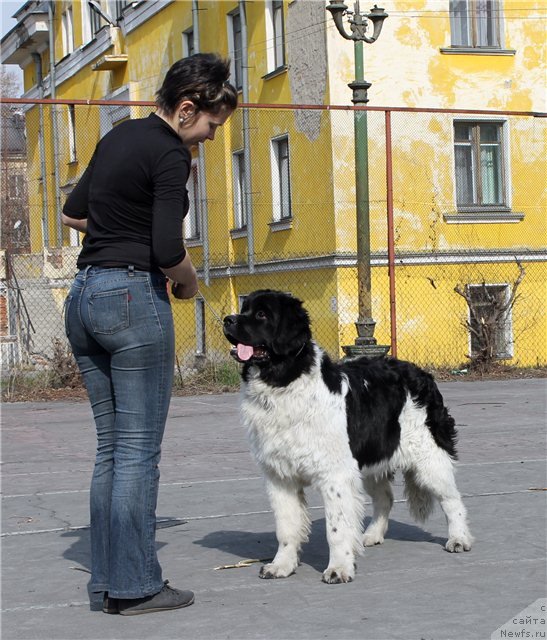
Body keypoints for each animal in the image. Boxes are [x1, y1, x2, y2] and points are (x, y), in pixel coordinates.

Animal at [223, 290, 470, 584]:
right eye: (243, 309)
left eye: (261, 314)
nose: (227, 320)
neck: (284, 382)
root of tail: (421, 373)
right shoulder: (280, 477)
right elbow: (286, 527)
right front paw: (281, 565)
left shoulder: (335, 475)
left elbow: (336, 528)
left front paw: (339, 568)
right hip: (371, 458)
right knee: (385, 497)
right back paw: (371, 535)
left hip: (429, 457)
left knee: (452, 498)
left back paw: (459, 539)